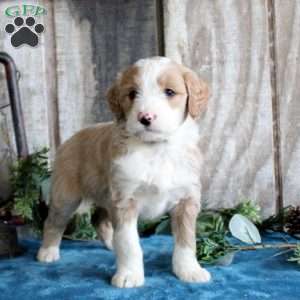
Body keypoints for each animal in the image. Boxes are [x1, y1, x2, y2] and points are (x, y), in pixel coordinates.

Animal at [37, 56, 211, 288]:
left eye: (170, 92)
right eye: (132, 94)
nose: (145, 117)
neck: (156, 150)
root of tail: (70, 139)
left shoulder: (186, 200)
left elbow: (186, 241)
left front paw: (189, 270)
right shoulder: (124, 200)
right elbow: (129, 243)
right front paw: (129, 275)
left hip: (104, 195)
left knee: (99, 219)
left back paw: (111, 244)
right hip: (66, 195)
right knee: (53, 221)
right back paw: (47, 252)